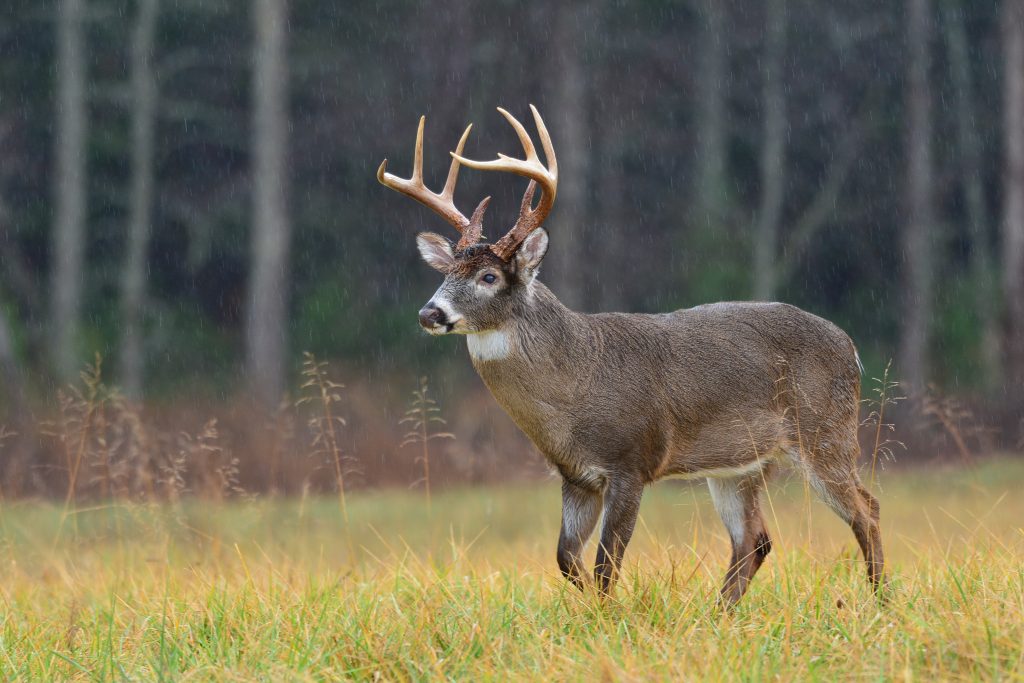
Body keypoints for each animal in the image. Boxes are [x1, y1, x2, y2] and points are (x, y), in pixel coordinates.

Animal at [377, 105, 885, 605]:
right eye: (447, 273)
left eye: (488, 277)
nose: (430, 312)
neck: (574, 386)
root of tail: (851, 348)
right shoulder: (576, 477)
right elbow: (566, 559)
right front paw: (588, 612)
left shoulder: (631, 460)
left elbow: (606, 564)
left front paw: (607, 617)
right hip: (740, 463)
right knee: (754, 539)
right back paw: (717, 614)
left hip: (824, 430)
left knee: (867, 508)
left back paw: (879, 601)